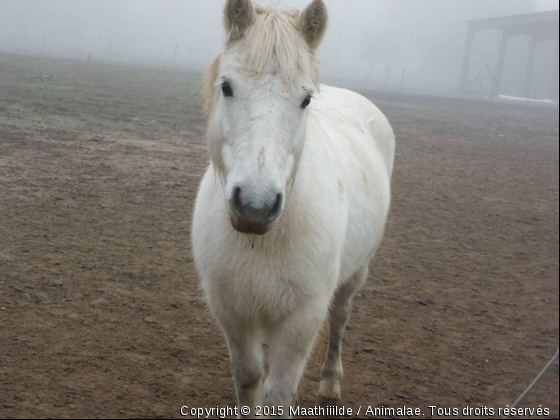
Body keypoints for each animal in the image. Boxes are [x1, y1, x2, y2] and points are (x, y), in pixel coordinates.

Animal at [192, 0, 394, 416]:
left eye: (305, 99)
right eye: (226, 87)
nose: (255, 206)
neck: (264, 240)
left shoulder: (301, 319)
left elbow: (279, 394)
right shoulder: (233, 313)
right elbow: (249, 379)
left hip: (353, 276)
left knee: (340, 319)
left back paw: (330, 386)